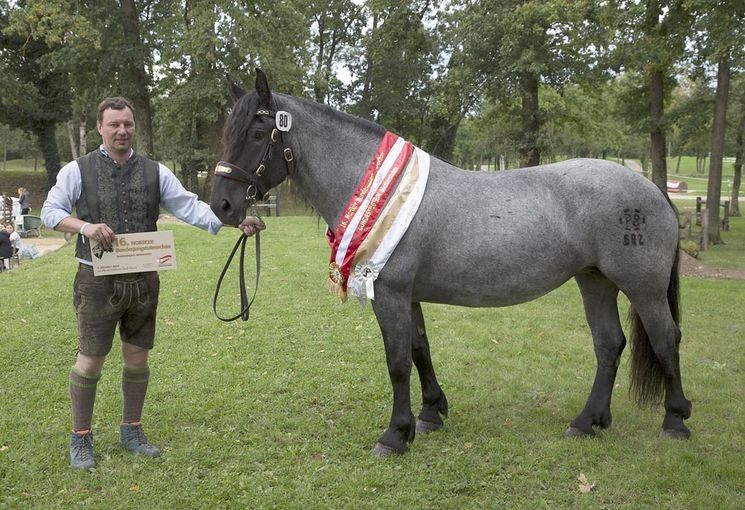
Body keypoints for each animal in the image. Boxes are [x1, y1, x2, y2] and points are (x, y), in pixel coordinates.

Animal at [209, 68, 692, 454]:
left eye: (257, 135)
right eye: (228, 133)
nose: (223, 206)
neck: (383, 189)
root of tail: (651, 188)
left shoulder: (390, 293)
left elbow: (397, 361)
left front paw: (395, 435)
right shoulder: (407, 295)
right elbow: (420, 349)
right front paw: (430, 413)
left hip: (642, 288)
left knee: (665, 338)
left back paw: (674, 421)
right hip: (594, 281)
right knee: (609, 344)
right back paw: (588, 421)